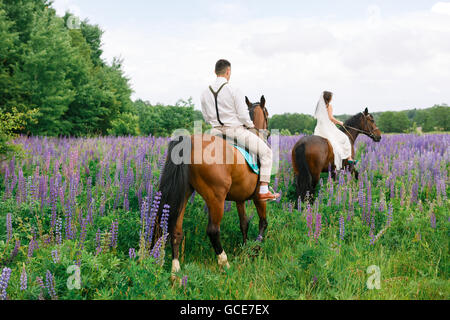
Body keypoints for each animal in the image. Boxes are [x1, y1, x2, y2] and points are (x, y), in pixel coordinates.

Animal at [156, 95, 270, 280]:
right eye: (267, 114)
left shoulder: (239, 199)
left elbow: (244, 223)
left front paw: (245, 247)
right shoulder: (259, 198)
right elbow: (263, 223)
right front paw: (254, 250)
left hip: (184, 194)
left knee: (175, 229)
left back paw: (175, 271)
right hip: (216, 198)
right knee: (213, 230)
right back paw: (225, 264)